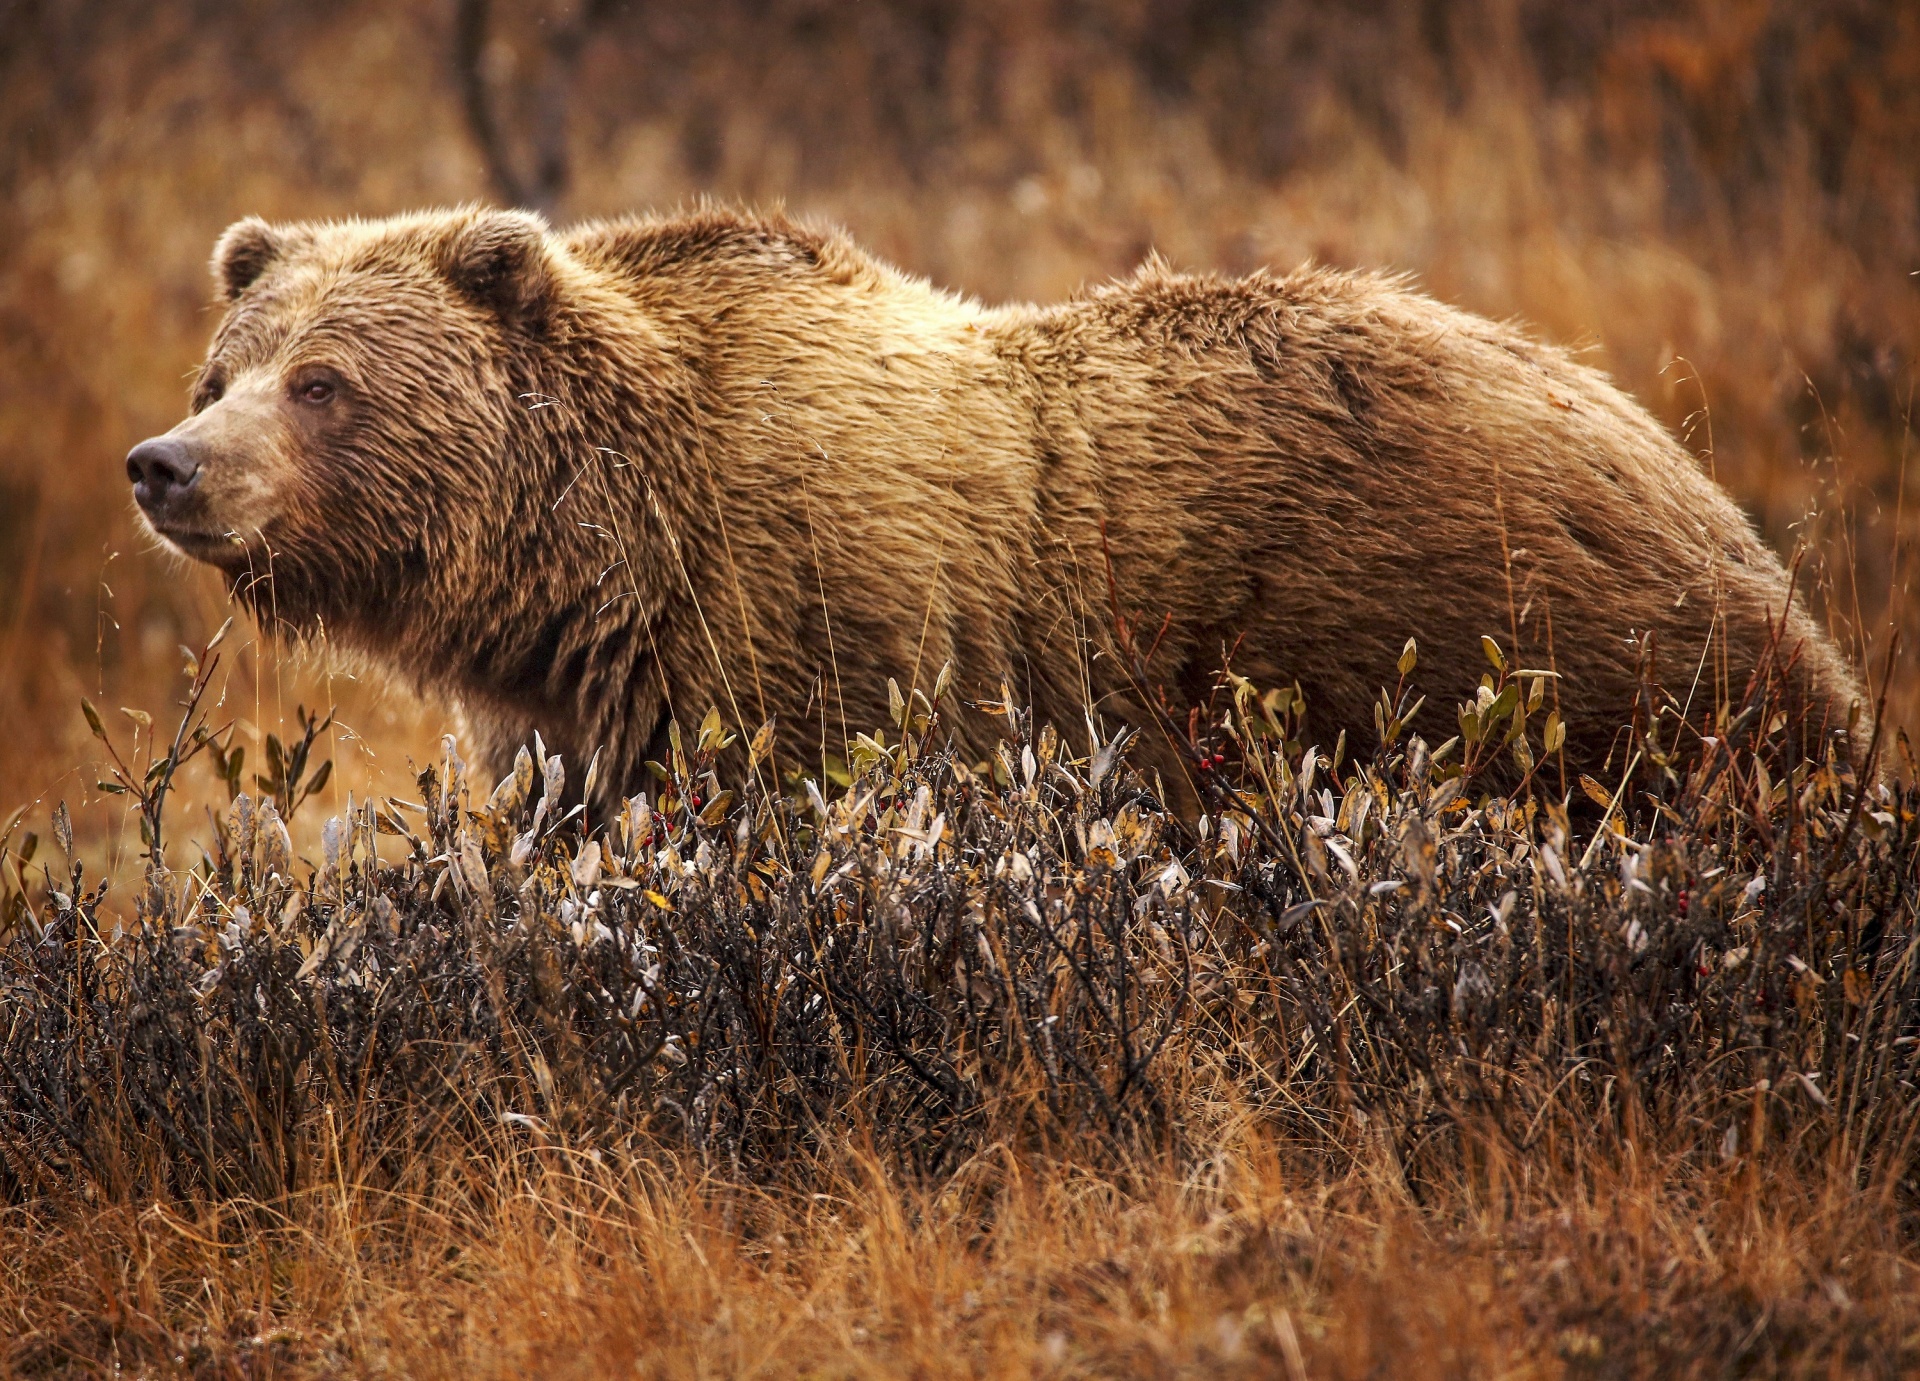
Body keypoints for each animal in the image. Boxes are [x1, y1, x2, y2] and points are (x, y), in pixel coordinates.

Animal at [125, 204, 1866, 807]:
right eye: (226, 366)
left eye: (325, 383)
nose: (167, 464)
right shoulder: (590, 712)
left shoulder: (817, 642)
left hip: (1525, 654)